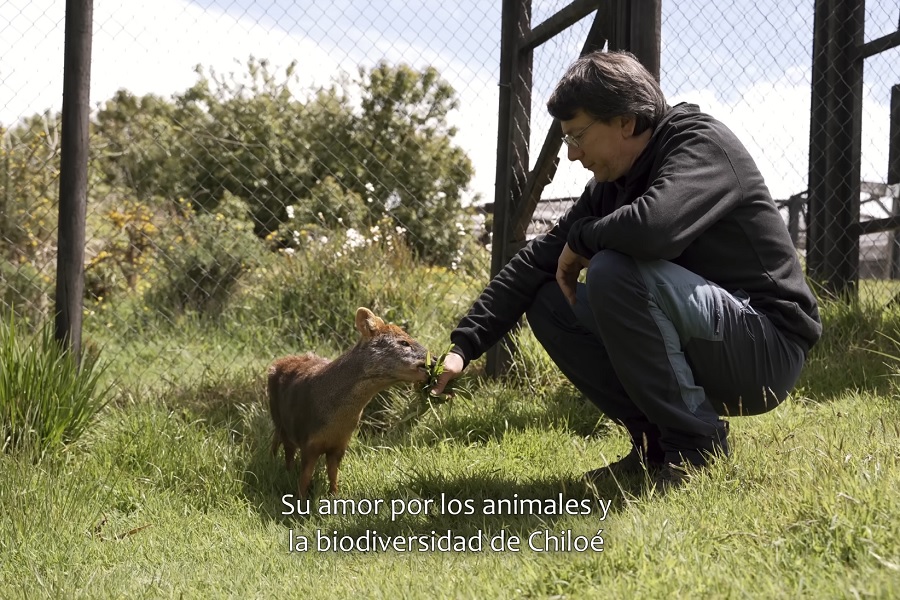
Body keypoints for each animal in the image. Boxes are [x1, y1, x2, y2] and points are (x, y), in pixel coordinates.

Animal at [268, 304, 428, 496]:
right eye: (404, 342)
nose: (434, 358)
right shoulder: (308, 443)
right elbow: (304, 478)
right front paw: (300, 498)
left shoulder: (339, 446)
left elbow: (333, 475)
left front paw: (334, 496)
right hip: (281, 423)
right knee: (285, 451)